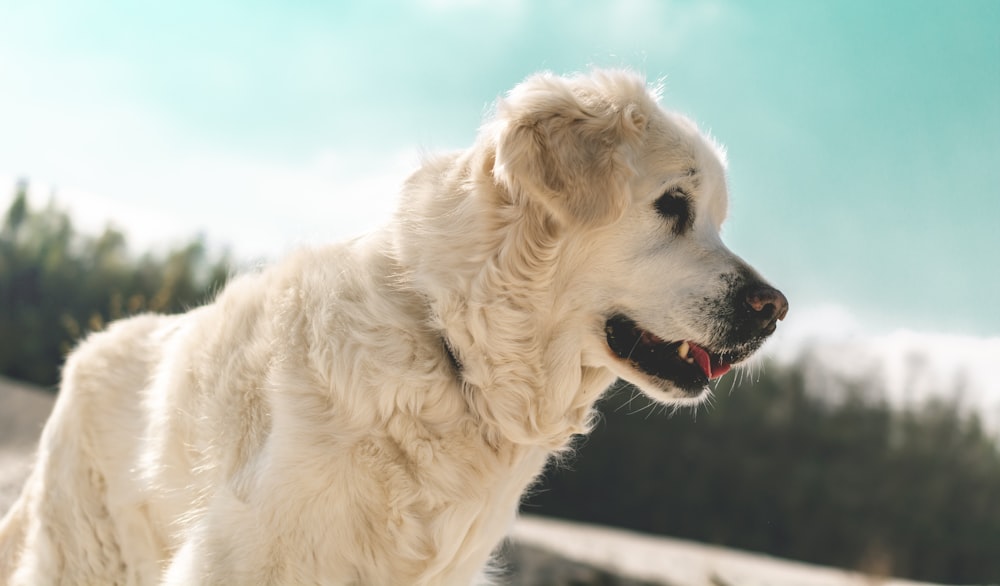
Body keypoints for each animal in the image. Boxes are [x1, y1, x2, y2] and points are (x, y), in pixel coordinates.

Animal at [0, 70, 788, 580]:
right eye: (673, 205)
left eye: (716, 219)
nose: (776, 308)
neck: (453, 347)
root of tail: (89, 350)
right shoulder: (242, 558)